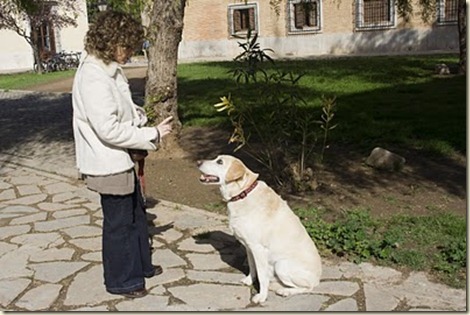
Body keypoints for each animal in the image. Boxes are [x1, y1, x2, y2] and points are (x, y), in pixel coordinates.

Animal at [196, 155, 322, 304]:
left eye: (220, 162)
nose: (198, 162)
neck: (242, 193)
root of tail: (318, 278)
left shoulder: (258, 249)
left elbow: (261, 276)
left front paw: (261, 296)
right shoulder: (249, 247)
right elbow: (252, 267)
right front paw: (249, 280)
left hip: (282, 265)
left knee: (308, 288)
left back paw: (285, 291)